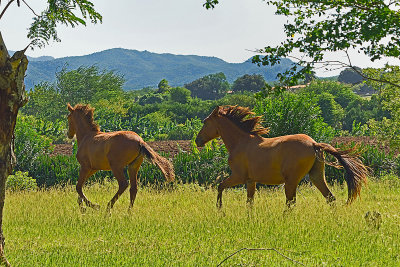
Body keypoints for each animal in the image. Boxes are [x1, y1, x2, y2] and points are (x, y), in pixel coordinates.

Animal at [195, 105, 368, 208]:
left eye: (205, 122)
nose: (197, 141)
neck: (241, 142)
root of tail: (314, 144)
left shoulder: (238, 176)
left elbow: (220, 186)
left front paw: (220, 209)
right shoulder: (251, 181)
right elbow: (249, 202)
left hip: (291, 181)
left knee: (291, 203)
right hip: (316, 176)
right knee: (330, 198)